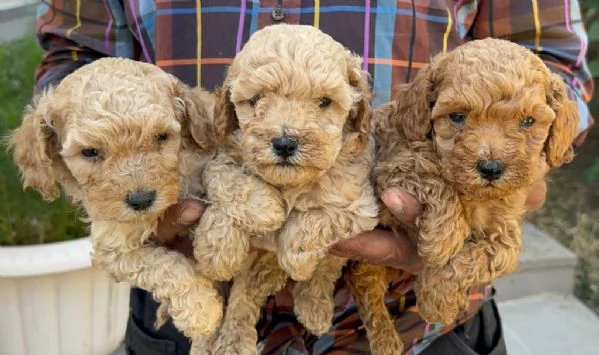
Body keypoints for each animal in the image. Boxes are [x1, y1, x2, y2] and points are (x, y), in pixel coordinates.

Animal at [8, 57, 225, 354]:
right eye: (89, 152)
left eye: (161, 137)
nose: (142, 200)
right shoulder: (111, 246)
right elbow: (165, 265)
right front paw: (201, 310)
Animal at [191, 23, 380, 354]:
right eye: (255, 100)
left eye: (324, 102)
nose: (284, 143)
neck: (288, 182)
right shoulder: (222, 159)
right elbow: (229, 183)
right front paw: (219, 250)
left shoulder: (358, 204)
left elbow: (318, 217)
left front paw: (297, 257)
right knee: (243, 296)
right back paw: (230, 341)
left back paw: (313, 308)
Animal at [350, 36, 580, 354]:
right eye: (457, 116)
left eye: (528, 121)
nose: (491, 168)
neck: (475, 195)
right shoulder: (390, 169)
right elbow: (435, 182)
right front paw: (442, 241)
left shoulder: (506, 233)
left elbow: (482, 257)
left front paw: (436, 299)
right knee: (365, 284)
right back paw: (386, 340)